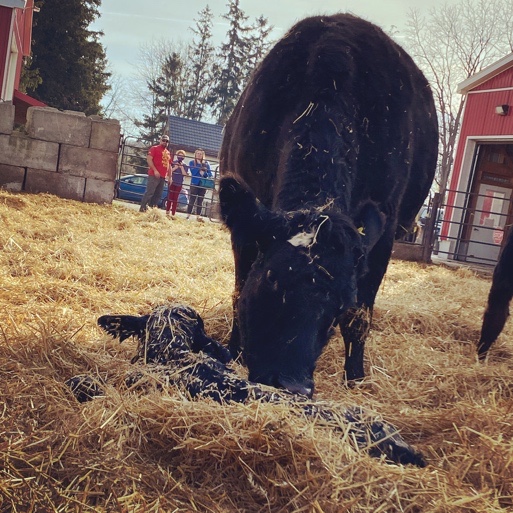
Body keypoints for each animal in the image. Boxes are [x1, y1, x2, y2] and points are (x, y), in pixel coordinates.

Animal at [218, 13, 438, 396]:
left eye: (338, 307)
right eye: (269, 282)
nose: (291, 383)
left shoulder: (382, 235)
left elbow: (360, 316)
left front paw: (355, 377)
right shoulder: (245, 229)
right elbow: (237, 291)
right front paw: (233, 351)